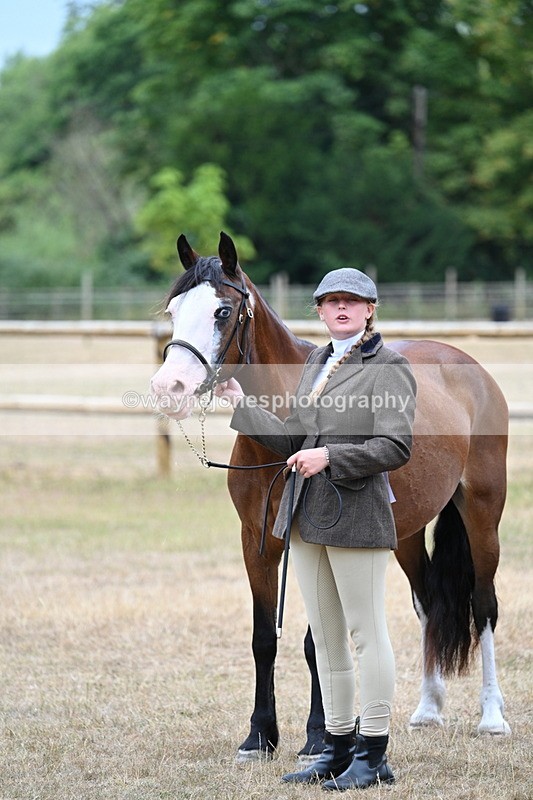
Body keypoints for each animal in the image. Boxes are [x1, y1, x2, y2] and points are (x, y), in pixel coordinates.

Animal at [151, 231, 511, 761]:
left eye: (222, 311)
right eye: (174, 310)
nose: (168, 387)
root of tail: (469, 367)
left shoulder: (314, 540)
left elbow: (318, 641)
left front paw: (319, 737)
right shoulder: (256, 541)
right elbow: (264, 638)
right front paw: (260, 736)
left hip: (483, 514)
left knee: (483, 606)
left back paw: (492, 717)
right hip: (404, 533)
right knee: (428, 603)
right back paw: (428, 709)